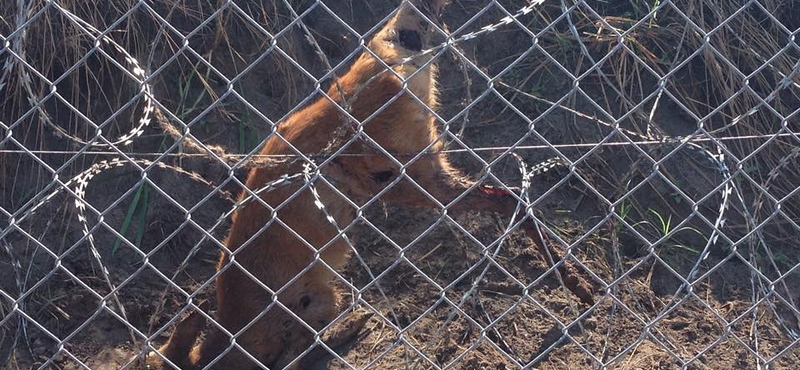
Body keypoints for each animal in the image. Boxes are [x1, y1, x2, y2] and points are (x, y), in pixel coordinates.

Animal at [142, 1, 592, 368]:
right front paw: (348, 331)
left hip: (408, 180)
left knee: (508, 200)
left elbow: (304, 348)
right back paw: (575, 280)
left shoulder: (306, 306)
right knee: (512, 198)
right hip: (422, 174)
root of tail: (378, 58)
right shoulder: (319, 300)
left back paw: (574, 283)